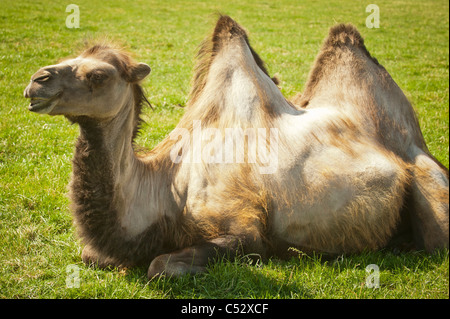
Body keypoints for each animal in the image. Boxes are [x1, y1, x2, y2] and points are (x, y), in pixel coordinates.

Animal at [23, 15, 446, 280]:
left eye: (98, 75)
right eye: (66, 58)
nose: (36, 81)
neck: (166, 188)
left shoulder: (244, 223)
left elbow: (162, 266)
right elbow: (89, 254)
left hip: (423, 171)